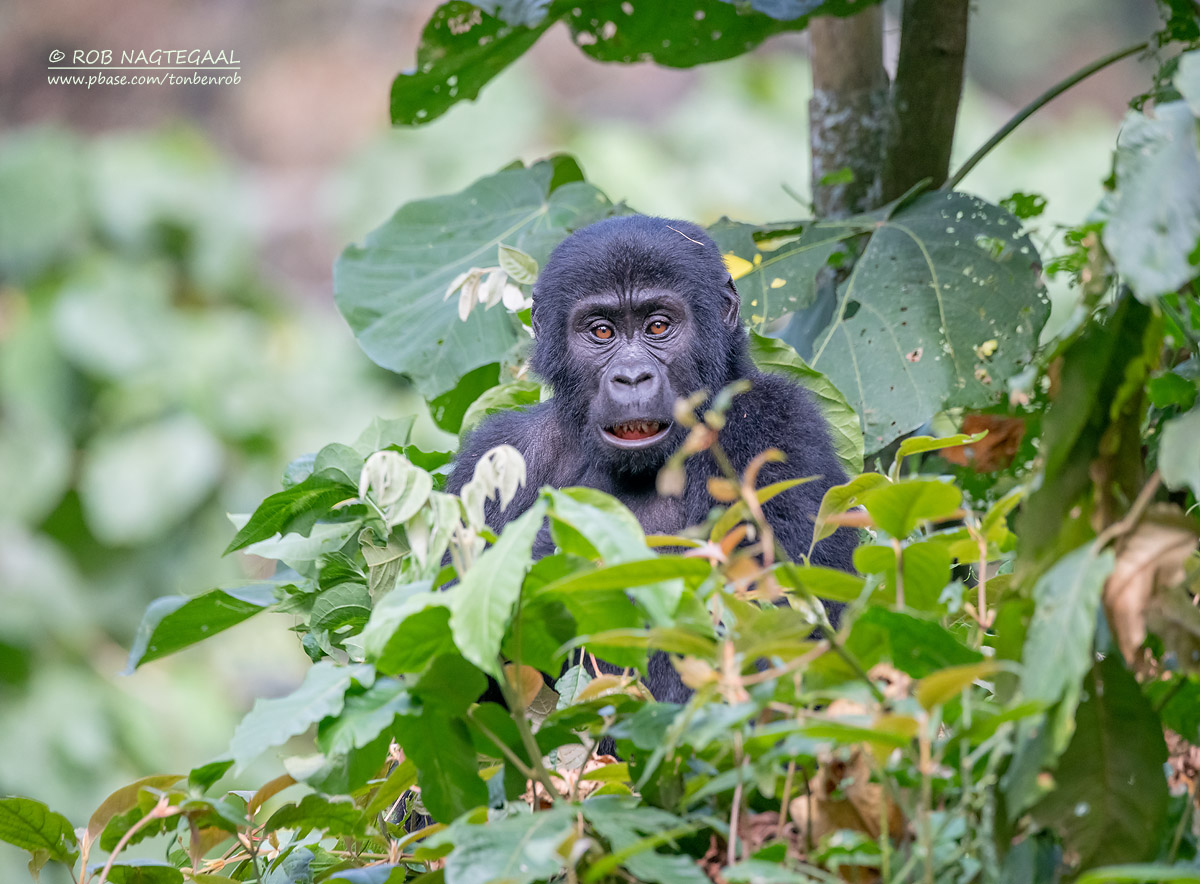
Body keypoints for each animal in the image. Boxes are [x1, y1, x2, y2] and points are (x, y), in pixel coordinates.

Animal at [448, 215, 854, 705]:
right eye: (602, 331)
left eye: (658, 326)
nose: (631, 377)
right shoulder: (497, 454)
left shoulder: (777, 424)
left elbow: (790, 628)